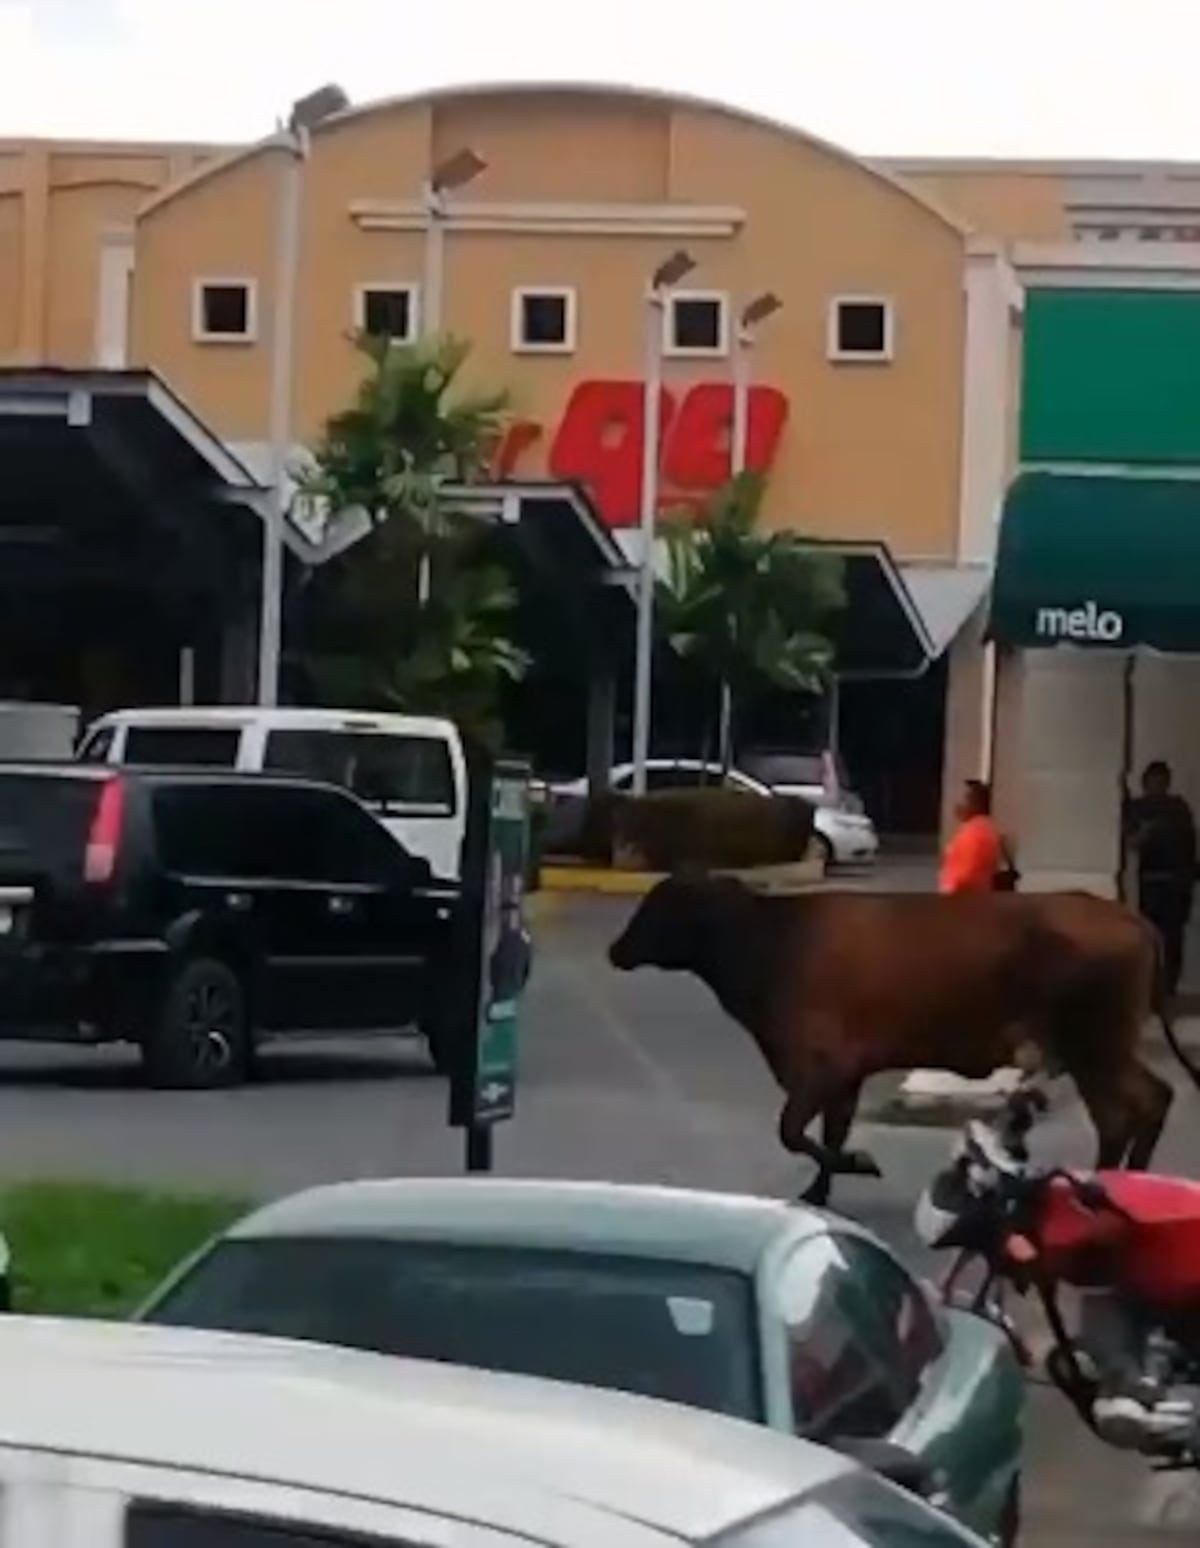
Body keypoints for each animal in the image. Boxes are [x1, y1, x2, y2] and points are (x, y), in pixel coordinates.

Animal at [610, 879, 1200, 1201]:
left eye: (662, 906)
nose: (616, 949)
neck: (771, 942)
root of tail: (1130, 918)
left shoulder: (820, 1066)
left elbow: (794, 1132)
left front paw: (856, 1166)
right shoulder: (846, 1073)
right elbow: (829, 1135)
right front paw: (819, 1192)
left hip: (1094, 1044)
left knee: (1127, 1111)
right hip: (1100, 1049)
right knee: (1148, 1101)